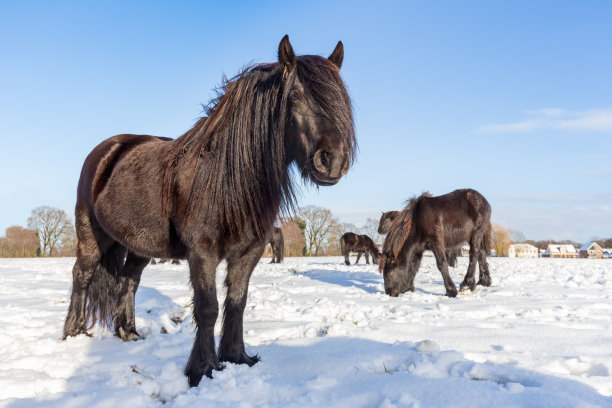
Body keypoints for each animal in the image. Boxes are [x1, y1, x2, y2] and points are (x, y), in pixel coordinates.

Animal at [59, 34, 356, 386]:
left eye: (341, 99)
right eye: (294, 96)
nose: (333, 160)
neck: (226, 177)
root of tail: (108, 149)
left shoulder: (250, 252)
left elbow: (237, 303)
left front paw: (237, 357)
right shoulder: (202, 252)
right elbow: (208, 308)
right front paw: (201, 370)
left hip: (139, 245)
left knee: (128, 281)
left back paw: (128, 332)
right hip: (92, 234)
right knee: (82, 275)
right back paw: (73, 334)